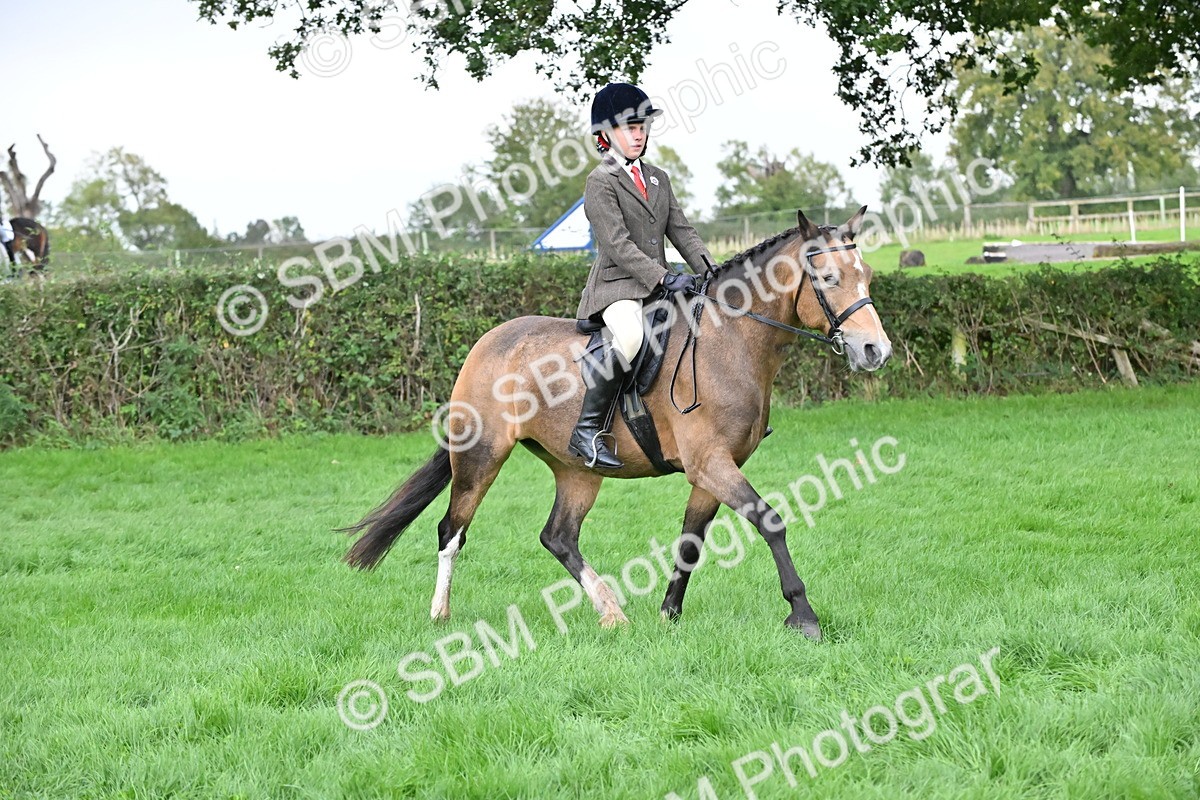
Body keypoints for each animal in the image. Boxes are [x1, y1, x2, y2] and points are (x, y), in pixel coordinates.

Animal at [341, 207, 892, 641]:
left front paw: (669, 615)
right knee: (452, 530)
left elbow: (690, 541)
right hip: (482, 457)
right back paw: (441, 614)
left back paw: (611, 612)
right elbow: (771, 521)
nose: (875, 351)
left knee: (558, 537)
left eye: (866, 274)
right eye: (828, 279)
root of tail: (487, 342)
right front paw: (803, 614)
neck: (730, 339)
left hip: (577, 470)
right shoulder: (710, 463)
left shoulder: (712, 470)